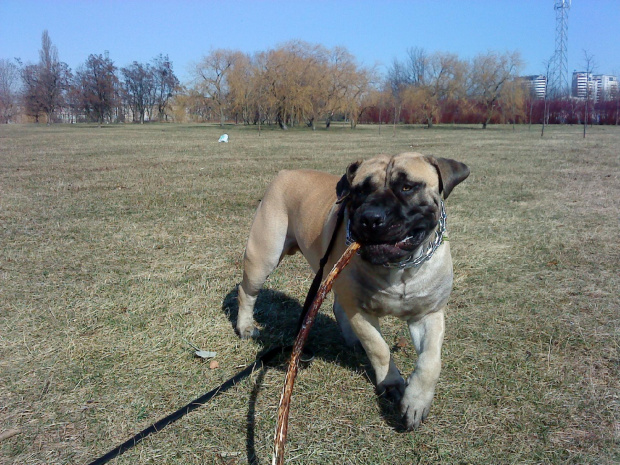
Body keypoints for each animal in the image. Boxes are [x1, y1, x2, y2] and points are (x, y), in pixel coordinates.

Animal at [235, 152, 468, 428]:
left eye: (407, 187)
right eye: (360, 190)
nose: (371, 217)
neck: (400, 268)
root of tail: (285, 173)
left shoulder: (429, 314)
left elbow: (430, 360)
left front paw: (416, 400)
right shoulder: (360, 311)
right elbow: (379, 348)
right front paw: (391, 383)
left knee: (338, 306)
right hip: (263, 256)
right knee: (246, 292)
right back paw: (245, 326)